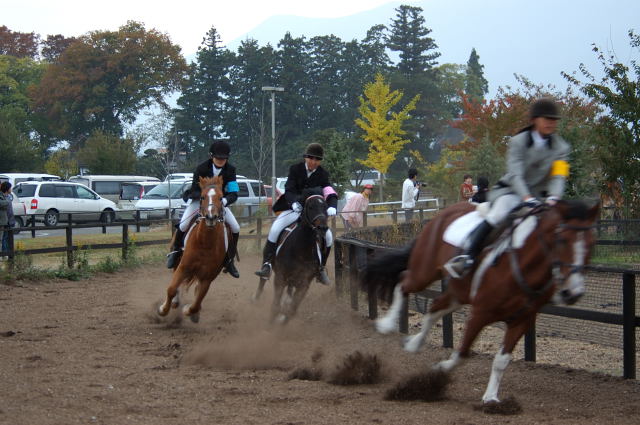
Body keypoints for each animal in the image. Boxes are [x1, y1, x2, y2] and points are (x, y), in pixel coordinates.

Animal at [157, 176, 228, 323]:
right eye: (202, 197)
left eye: (221, 198)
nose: (211, 217)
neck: (205, 243)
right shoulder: (184, 266)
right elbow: (171, 289)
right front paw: (163, 310)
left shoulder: (207, 277)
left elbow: (197, 303)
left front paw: (189, 311)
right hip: (178, 260)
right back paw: (175, 302)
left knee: (197, 291)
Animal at [252, 190, 329, 324]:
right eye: (310, 207)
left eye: (325, 206)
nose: (323, 228)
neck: (302, 249)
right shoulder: (280, 278)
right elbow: (275, 306)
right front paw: (270, 325)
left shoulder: (304, 283)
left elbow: (292, 310)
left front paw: (283, 319)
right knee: (263, 278)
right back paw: (256, 298)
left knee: (290, 291)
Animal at [364, 199, 599, 404]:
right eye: (562, 240)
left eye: (591, 244)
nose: (572, 292)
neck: (522, 267)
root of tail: (443, 213)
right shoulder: (480, 313)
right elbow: (462, 353)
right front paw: (438, 372)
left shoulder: (521, 320)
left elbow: (501, 360)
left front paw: (491, 397)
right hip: (425, 271)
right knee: (403, 282)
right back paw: (387, 324)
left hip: (458, 292)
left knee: (434, 307)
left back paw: (414, 343)